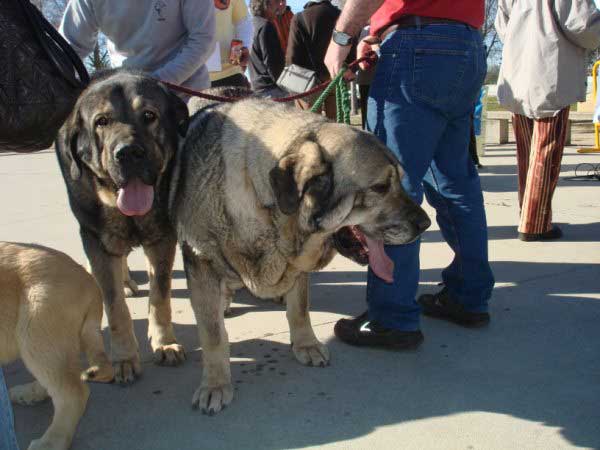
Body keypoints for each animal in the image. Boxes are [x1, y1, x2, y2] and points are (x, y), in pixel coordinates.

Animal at [56, 71, 189, 384]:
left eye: (149, 115)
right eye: (102, 121)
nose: (128, 153)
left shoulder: (162, 238)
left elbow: (160, 295)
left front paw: (164, 342)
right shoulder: (97, 241)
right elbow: (114, 305)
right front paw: (125, 357)